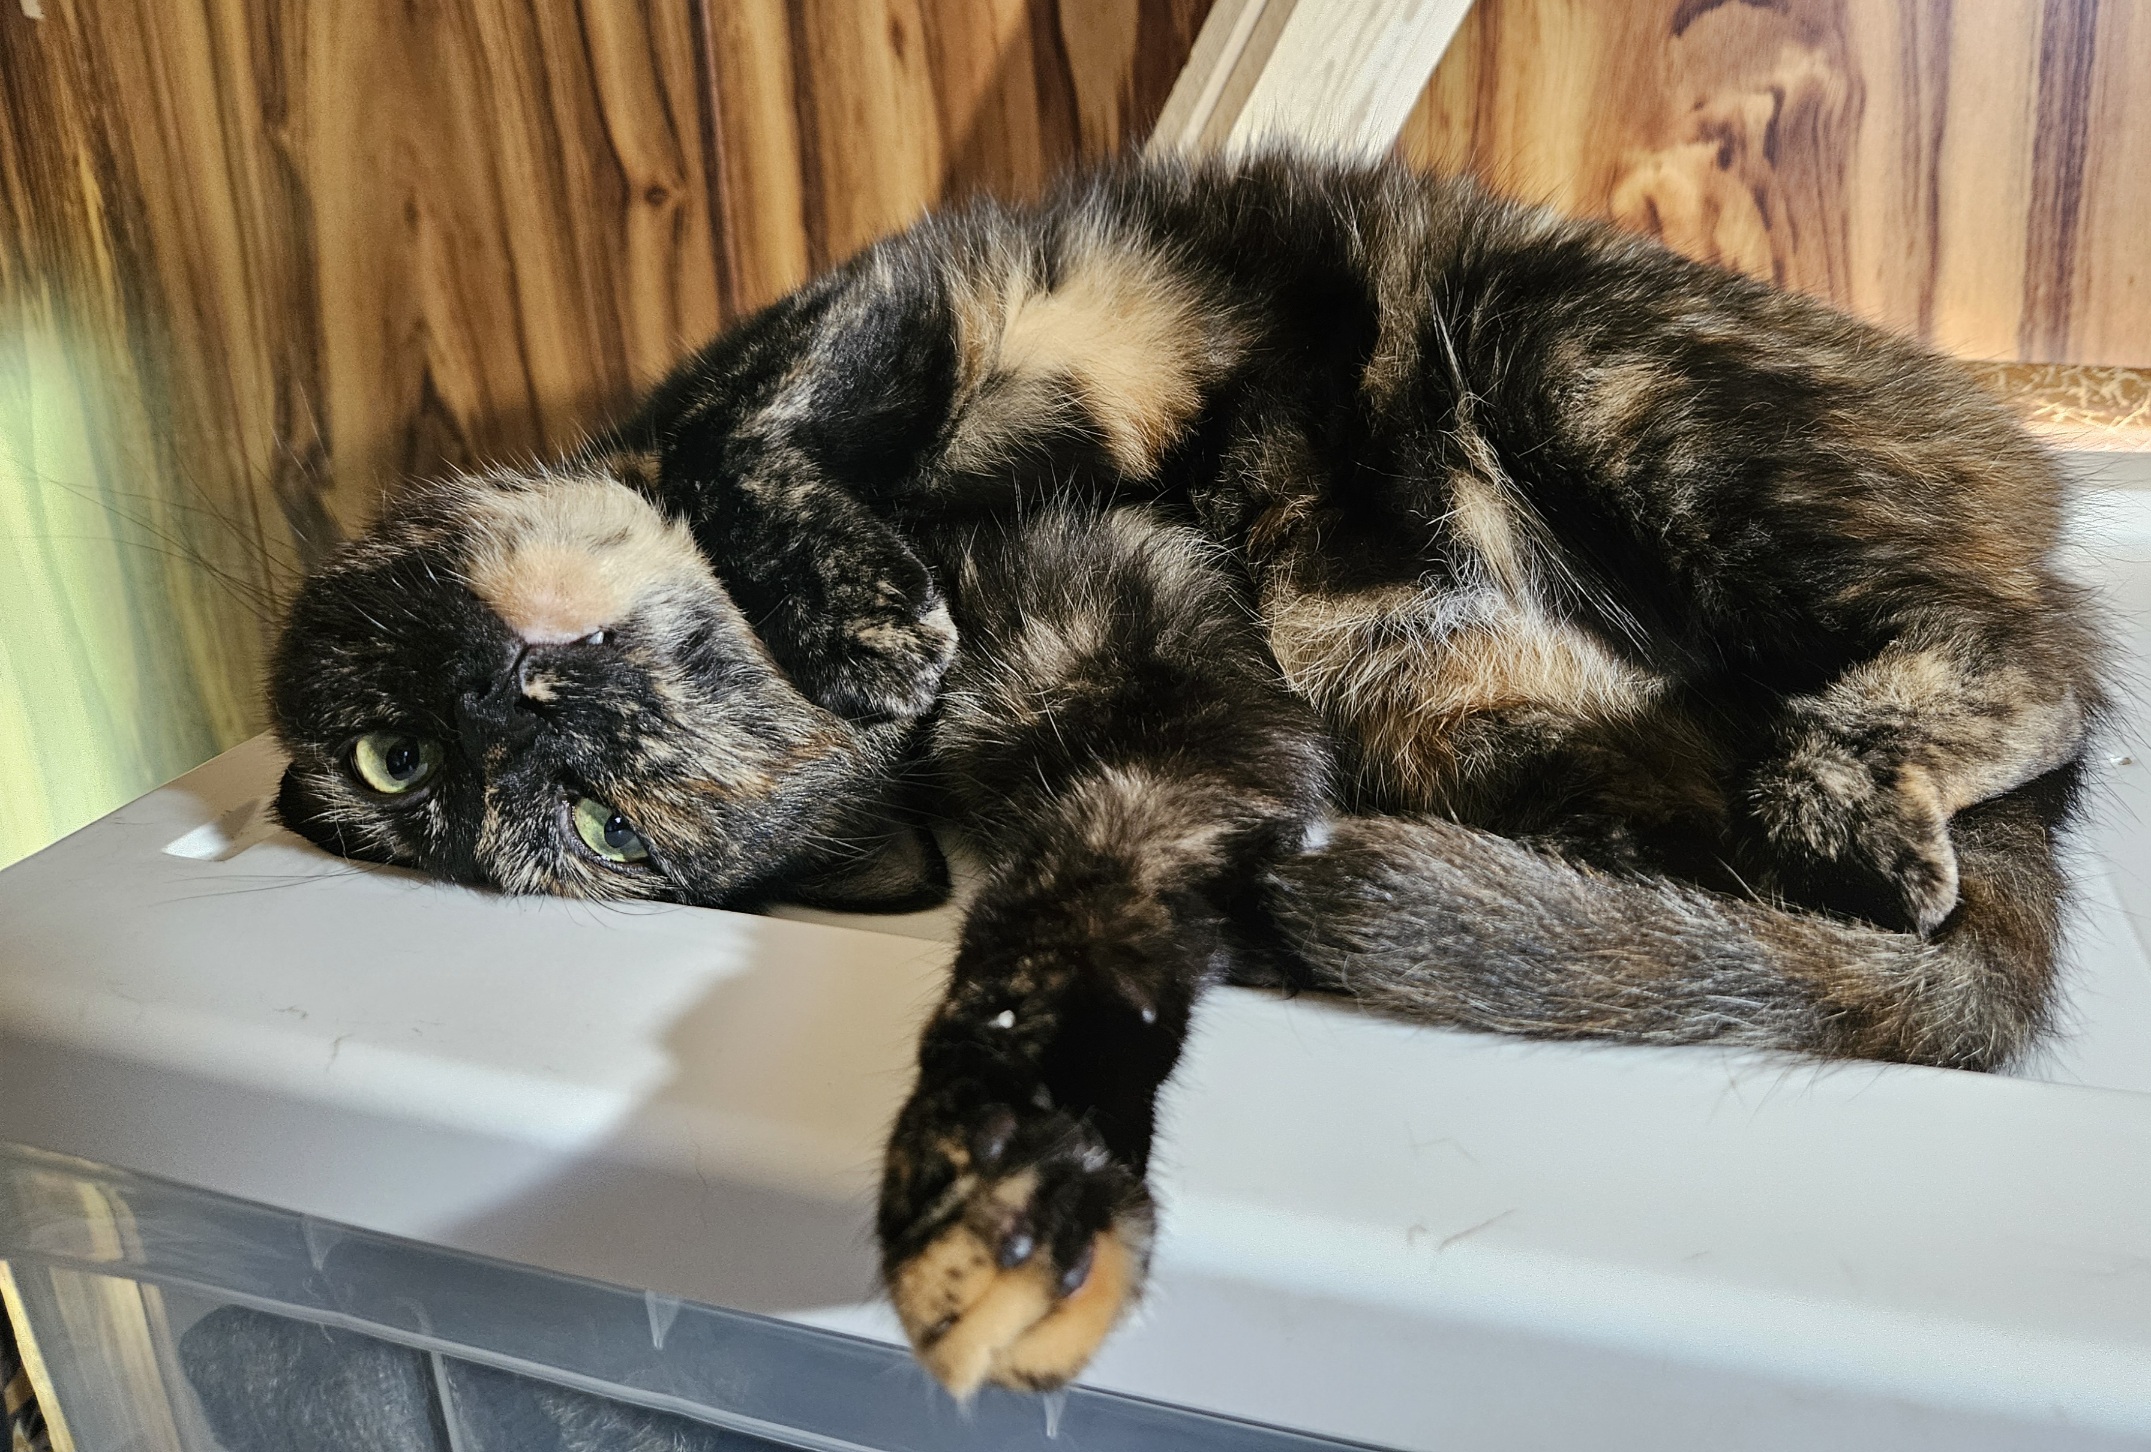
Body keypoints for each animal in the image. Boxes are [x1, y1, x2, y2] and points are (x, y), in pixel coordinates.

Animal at [269, 151, 2104, 1398]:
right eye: (586, 826)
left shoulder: (918, 298)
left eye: (392, 751)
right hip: (1435, 706)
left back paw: (1850, 788)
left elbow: (751, 430)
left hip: (1582, 356)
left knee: (2038, 660)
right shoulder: (1166, 715)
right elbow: (1083, 906)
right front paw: (1013, 1173)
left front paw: (855, 612)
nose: (515, 710)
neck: (952, 532)